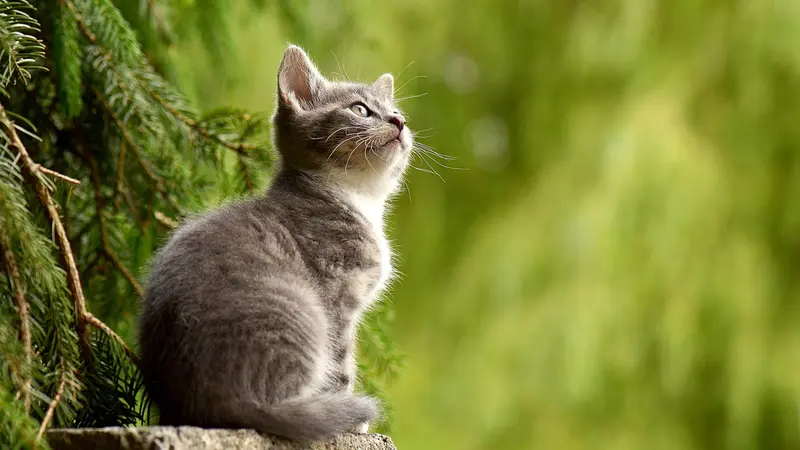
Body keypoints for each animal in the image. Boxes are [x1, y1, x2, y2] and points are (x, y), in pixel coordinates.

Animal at [136, 44, 412, 442]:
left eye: (397, 111)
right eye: (360, 109)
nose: (398, 122)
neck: (356, 198)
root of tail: (213, 403)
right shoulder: (337, 299)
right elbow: (341, 364)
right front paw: (352, 421)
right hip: (304, 311)